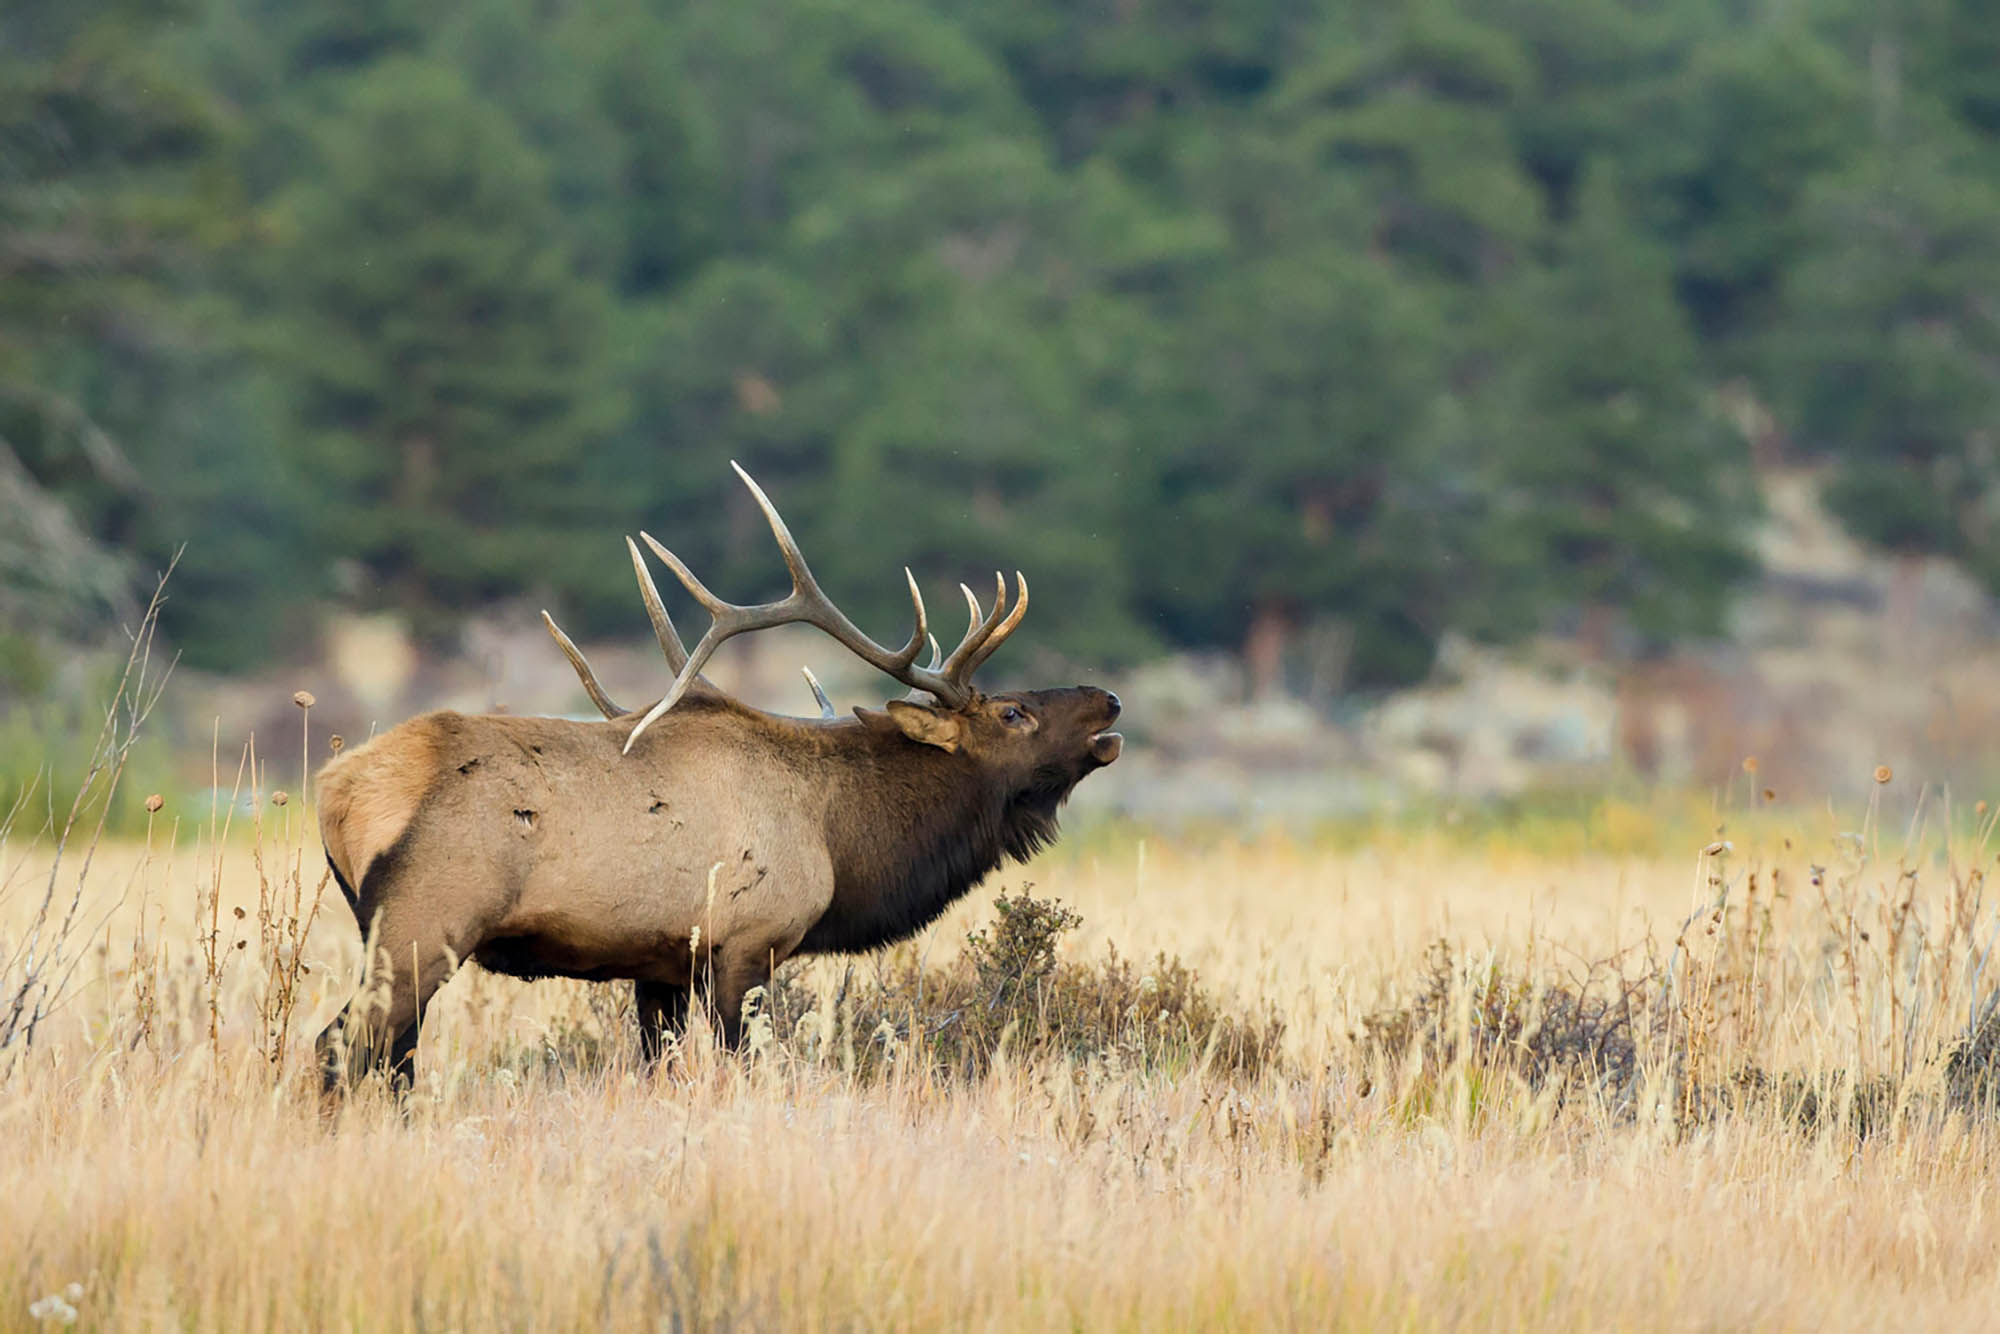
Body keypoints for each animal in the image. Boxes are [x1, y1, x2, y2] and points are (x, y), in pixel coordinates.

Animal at [314, 463, 1123, 1093]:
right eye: (1014, 712)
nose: (1109, 699)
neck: (841, 840)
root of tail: (336, 792)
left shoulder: (660, 966)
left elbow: (660, 1070)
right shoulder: (746, 944)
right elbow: (744, 1066)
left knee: (387, 1055)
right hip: (423, 923)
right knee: (345, 1044)